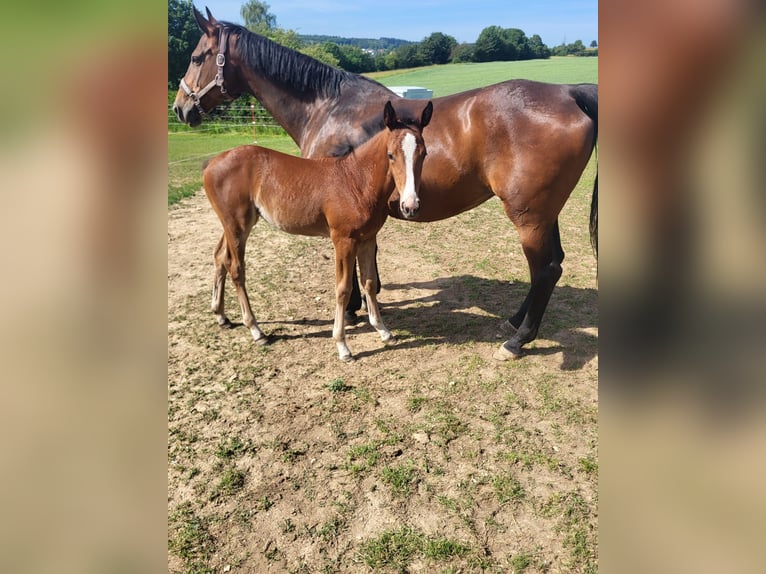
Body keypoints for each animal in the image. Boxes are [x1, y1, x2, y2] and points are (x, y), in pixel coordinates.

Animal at [201, 100, 432, 362]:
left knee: (220, 257)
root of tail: (211, 164)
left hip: (234, 224)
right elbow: (343, 289)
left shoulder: (368, 239)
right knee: (236, 269)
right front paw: (342, 346)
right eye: (391, 155)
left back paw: (221, 316)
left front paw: (384, 331)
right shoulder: (343, 240)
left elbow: (370, 283)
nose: (410, 206)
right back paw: (256, 331)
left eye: (424, 153)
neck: (356, 180)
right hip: (237, 226)